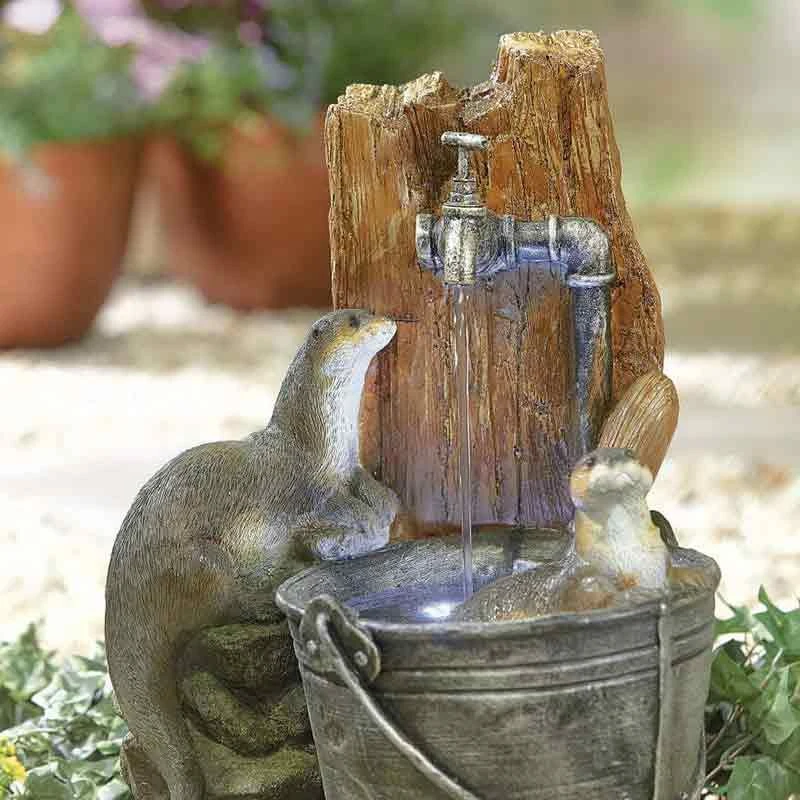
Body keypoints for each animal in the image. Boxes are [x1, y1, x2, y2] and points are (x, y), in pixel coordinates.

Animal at [105, 309, 400, 800]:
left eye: (370, 311)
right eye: (355, 320)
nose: (388, 320)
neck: (318, 447)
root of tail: (118, 596)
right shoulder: (309, 491)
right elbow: (338, 515)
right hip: (201, 565)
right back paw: (264, 598)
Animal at [456, 448, 714, 622]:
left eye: (630, 452)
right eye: (590, 461)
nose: (616, 458)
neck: (629, 556)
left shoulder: (660, 556)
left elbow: (673, 569)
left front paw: (694, 576)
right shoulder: (577, 576)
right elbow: (583, 597)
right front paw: (634, 597)